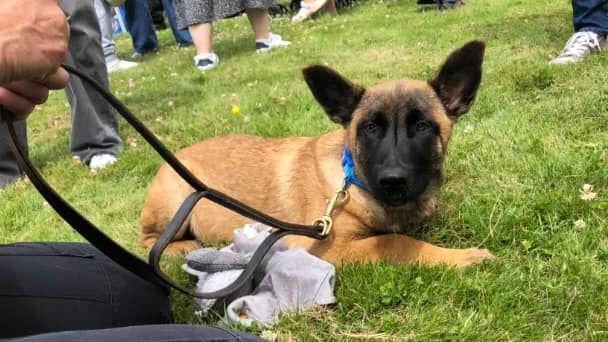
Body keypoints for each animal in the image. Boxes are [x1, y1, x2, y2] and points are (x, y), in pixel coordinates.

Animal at [140, 41, 496, 268]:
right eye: (370, 128)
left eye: (422, 126)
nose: (393, 181)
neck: (352, 181)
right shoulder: (322, 248)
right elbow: (396, 242)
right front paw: (463, 257)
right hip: (176, 198)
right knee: (149, 240)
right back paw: (180, 246)